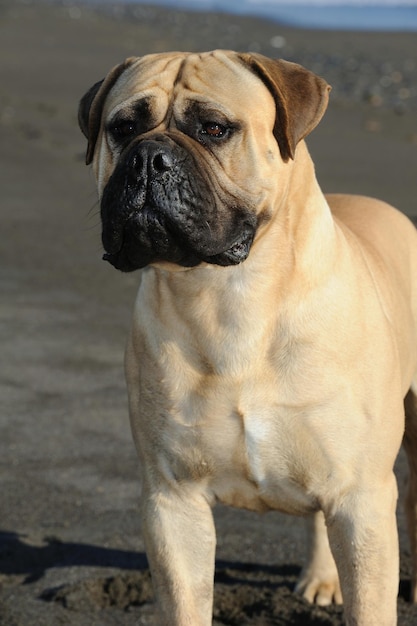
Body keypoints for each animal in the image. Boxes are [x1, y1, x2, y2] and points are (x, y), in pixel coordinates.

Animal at [79, 51, 417, 620]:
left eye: (215, 129)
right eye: (122, 128)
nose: (147, 158)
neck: (228, 293)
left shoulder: (362, 497)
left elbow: (369, 604)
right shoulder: (173, 501)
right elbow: (186, 602)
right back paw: (322, 576)